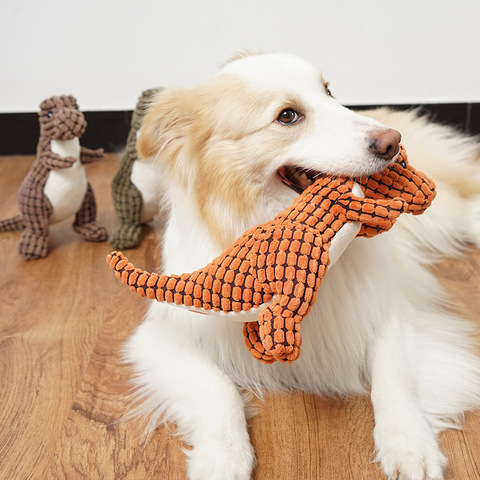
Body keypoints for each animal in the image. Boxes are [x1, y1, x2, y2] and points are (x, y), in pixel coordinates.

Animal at [125, 50, 480, 478]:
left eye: (329, 92)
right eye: (288, 116)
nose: (392, 141)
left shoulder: (391, 312)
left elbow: (393, 376)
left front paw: (409, 443)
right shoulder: (162, 337)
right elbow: (217, 389)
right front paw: (223, 456)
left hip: (442, 211)